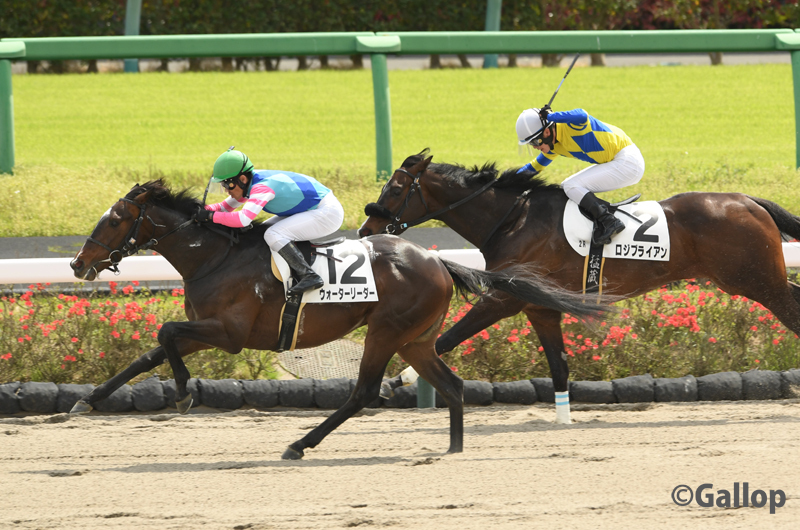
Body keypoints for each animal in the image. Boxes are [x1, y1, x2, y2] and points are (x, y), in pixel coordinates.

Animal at [68, 179, 606, 459]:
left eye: (113, 219)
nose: (77, 263)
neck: (213, 257)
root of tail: (438, 260)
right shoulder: (207, 331)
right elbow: (149, 354)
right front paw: (86, 402)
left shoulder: (229, 334)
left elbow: (165, 334)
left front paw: (182, 393)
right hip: (414, 339)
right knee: (452, 385)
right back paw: (452, 449)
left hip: (386, 330)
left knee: (365, 391)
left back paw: (300, 444)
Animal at [358, 150, 800, 423]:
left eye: (394, 188)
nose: (366, 230)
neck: (513, 219)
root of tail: (748, 200)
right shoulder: (538, 306)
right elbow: (558, 365)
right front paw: (563, 419)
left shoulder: (503, 298)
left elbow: (446, 339)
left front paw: (397, 380)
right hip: (760, 279)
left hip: (759, 282)